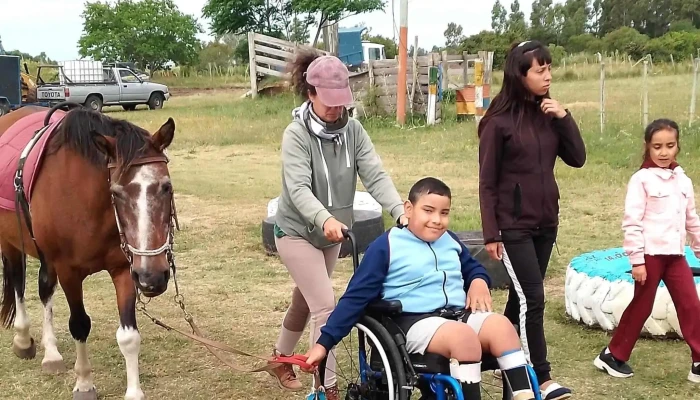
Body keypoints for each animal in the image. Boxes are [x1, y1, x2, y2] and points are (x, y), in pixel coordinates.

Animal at [0, 104, 178, 400]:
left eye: (167, 187)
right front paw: (84, 383)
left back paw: (51, 354)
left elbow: (129, 336)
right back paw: (23, 339)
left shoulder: (124, 269)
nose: (152, 277)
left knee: (44, 289)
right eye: (116, 192)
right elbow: (80, 324)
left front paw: (134, 392)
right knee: (18, 284)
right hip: (11, 243)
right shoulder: (69, 272)